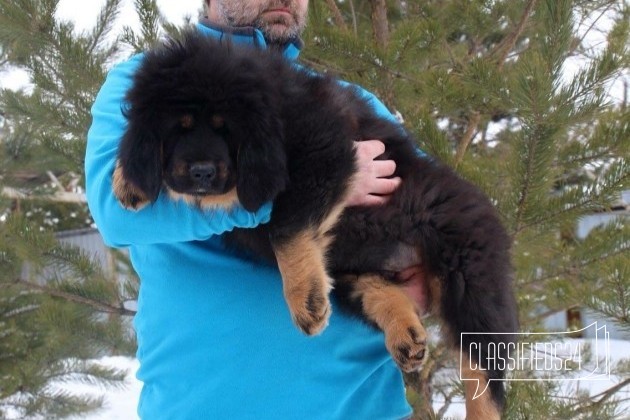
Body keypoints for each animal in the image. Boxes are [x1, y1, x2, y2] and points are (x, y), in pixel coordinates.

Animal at [113, 30, 520, 420]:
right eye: (176, 130)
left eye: (225, 130)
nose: (201, 172)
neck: (274, 112)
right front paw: (127, 177)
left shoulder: (323, 146)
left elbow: (286, 226)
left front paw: (303, 299)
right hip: (350, 275)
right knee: (376, 291)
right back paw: (403, 331)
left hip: (469, 278)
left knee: (485, 373)